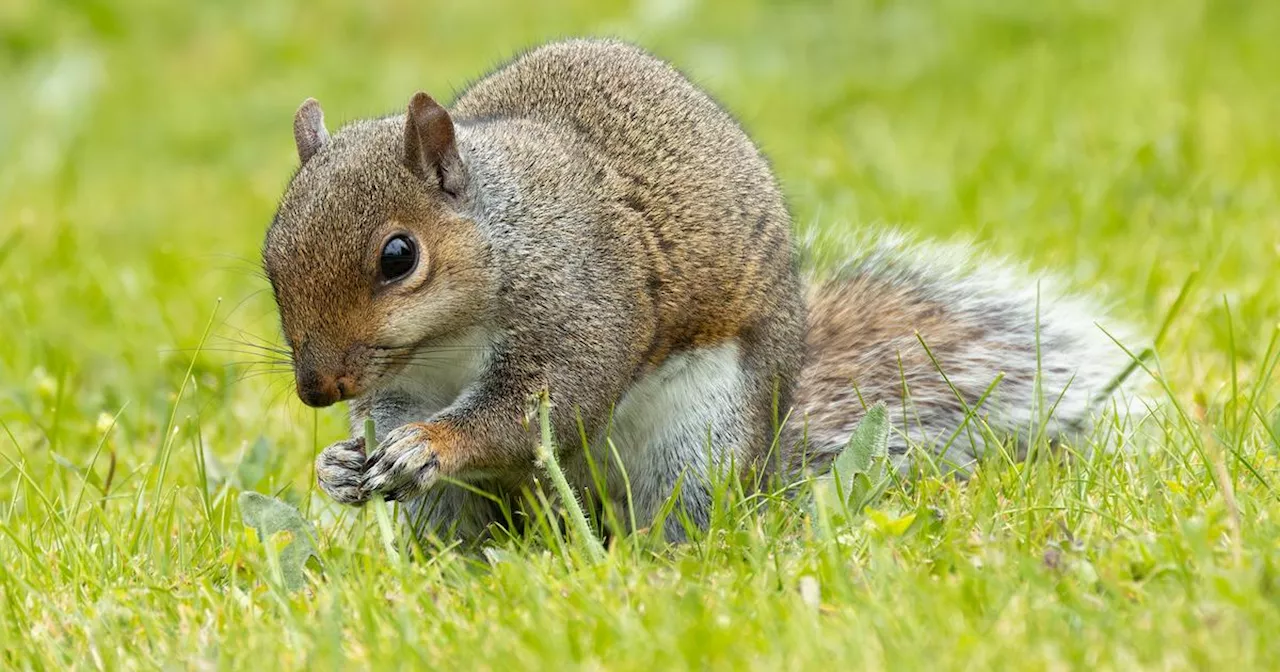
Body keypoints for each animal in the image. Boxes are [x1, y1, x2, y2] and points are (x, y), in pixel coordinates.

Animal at [259, 37, 1131, 540]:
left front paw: (429, 444)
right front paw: (341, 463)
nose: (315, 389)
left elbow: (538, 410)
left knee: (681, 514)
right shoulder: (404, 381)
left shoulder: (582, 302)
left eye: (398, 256)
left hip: (699, 442)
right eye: (270, 260)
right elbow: (390, 421)